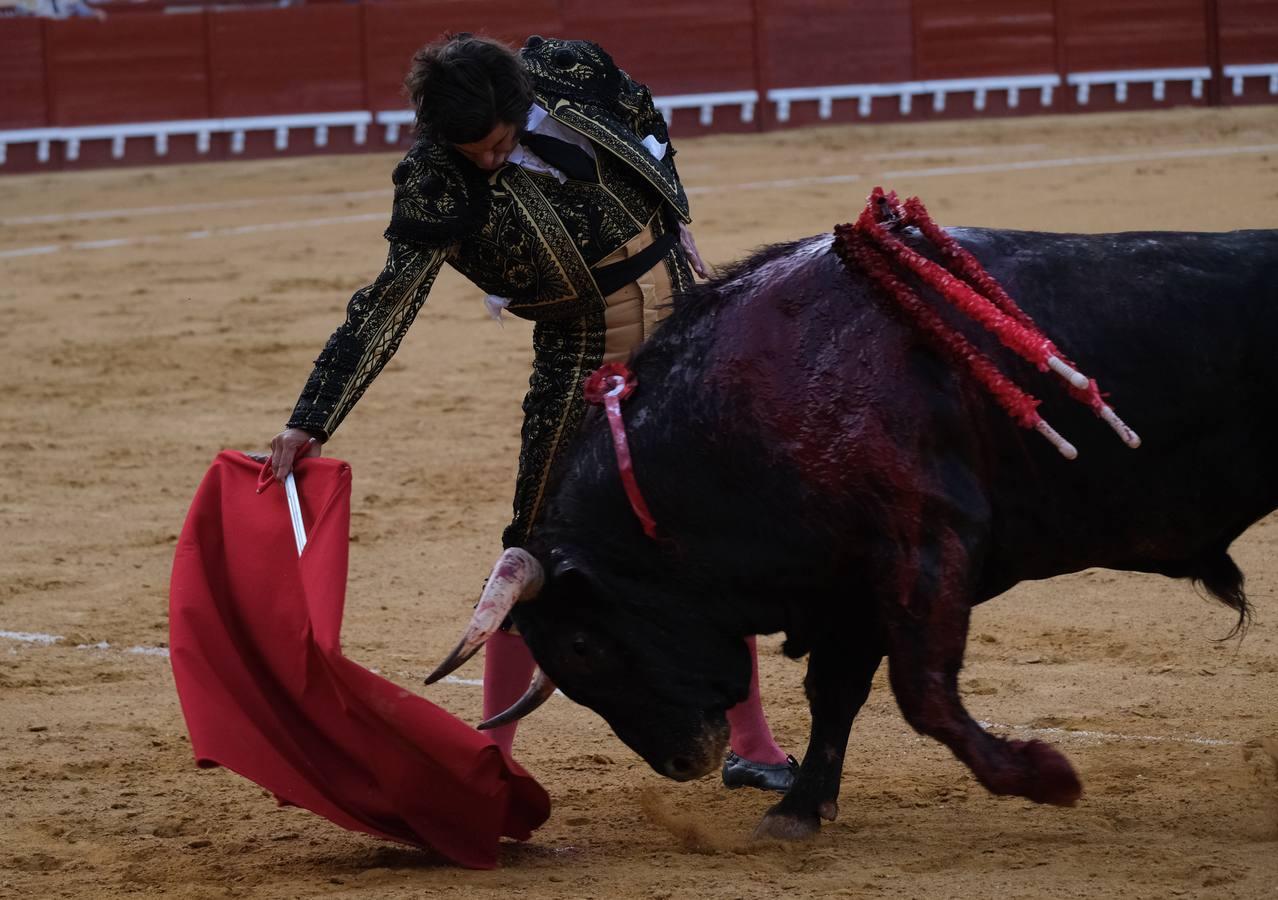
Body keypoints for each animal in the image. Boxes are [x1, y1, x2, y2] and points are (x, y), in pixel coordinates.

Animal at [503, 225, 1272, 838]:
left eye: (582, 645)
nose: (682, 761)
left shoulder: (929, 539)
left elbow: (922, 693)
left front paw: (1047, 776)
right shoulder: (850, 586)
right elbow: (835, 693)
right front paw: (799, 810)